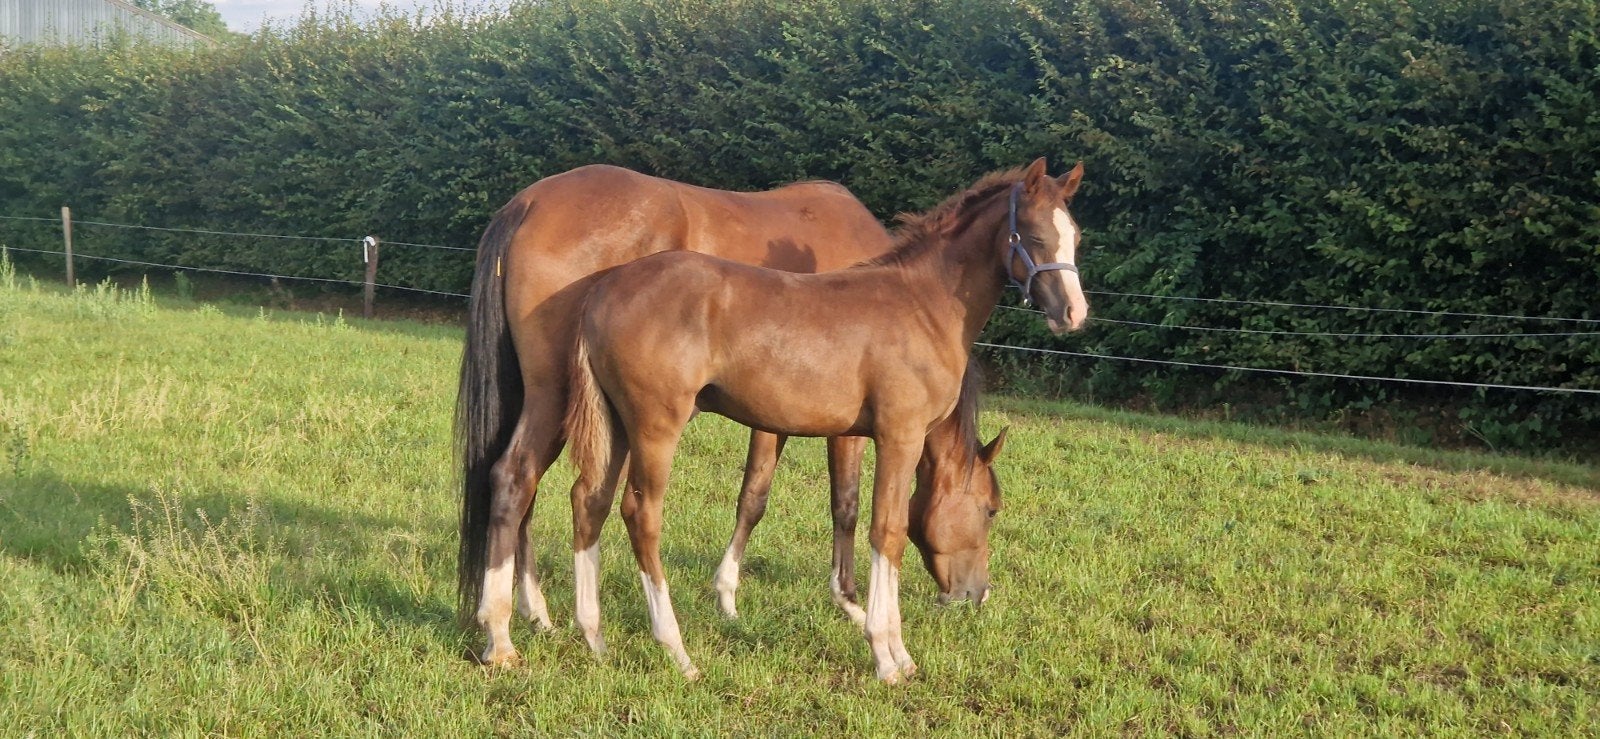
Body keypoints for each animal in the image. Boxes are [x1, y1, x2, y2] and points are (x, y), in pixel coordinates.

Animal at [457, 164, 902, 666]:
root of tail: (528, 203)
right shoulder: (844, 425)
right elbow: (844, 503)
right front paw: (852, 605)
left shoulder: (775, 417)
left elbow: (754, 496)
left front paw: (728, 598)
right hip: (554, 396)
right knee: (516, 479)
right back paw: (502, 636)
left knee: (525, 490)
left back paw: (537, 615)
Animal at [564, 157, 1088, 682]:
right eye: (991, 509)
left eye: (1076, 236)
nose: (1074, 313)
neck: (923, 304)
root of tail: (604, 289)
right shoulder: (899, 436)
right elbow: (887, 532)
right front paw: (887, 654)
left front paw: (896, 651)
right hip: (656, 426)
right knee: (641, 514)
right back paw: (676, 649)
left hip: (617, 425)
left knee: (590, 500)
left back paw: (594, 637)